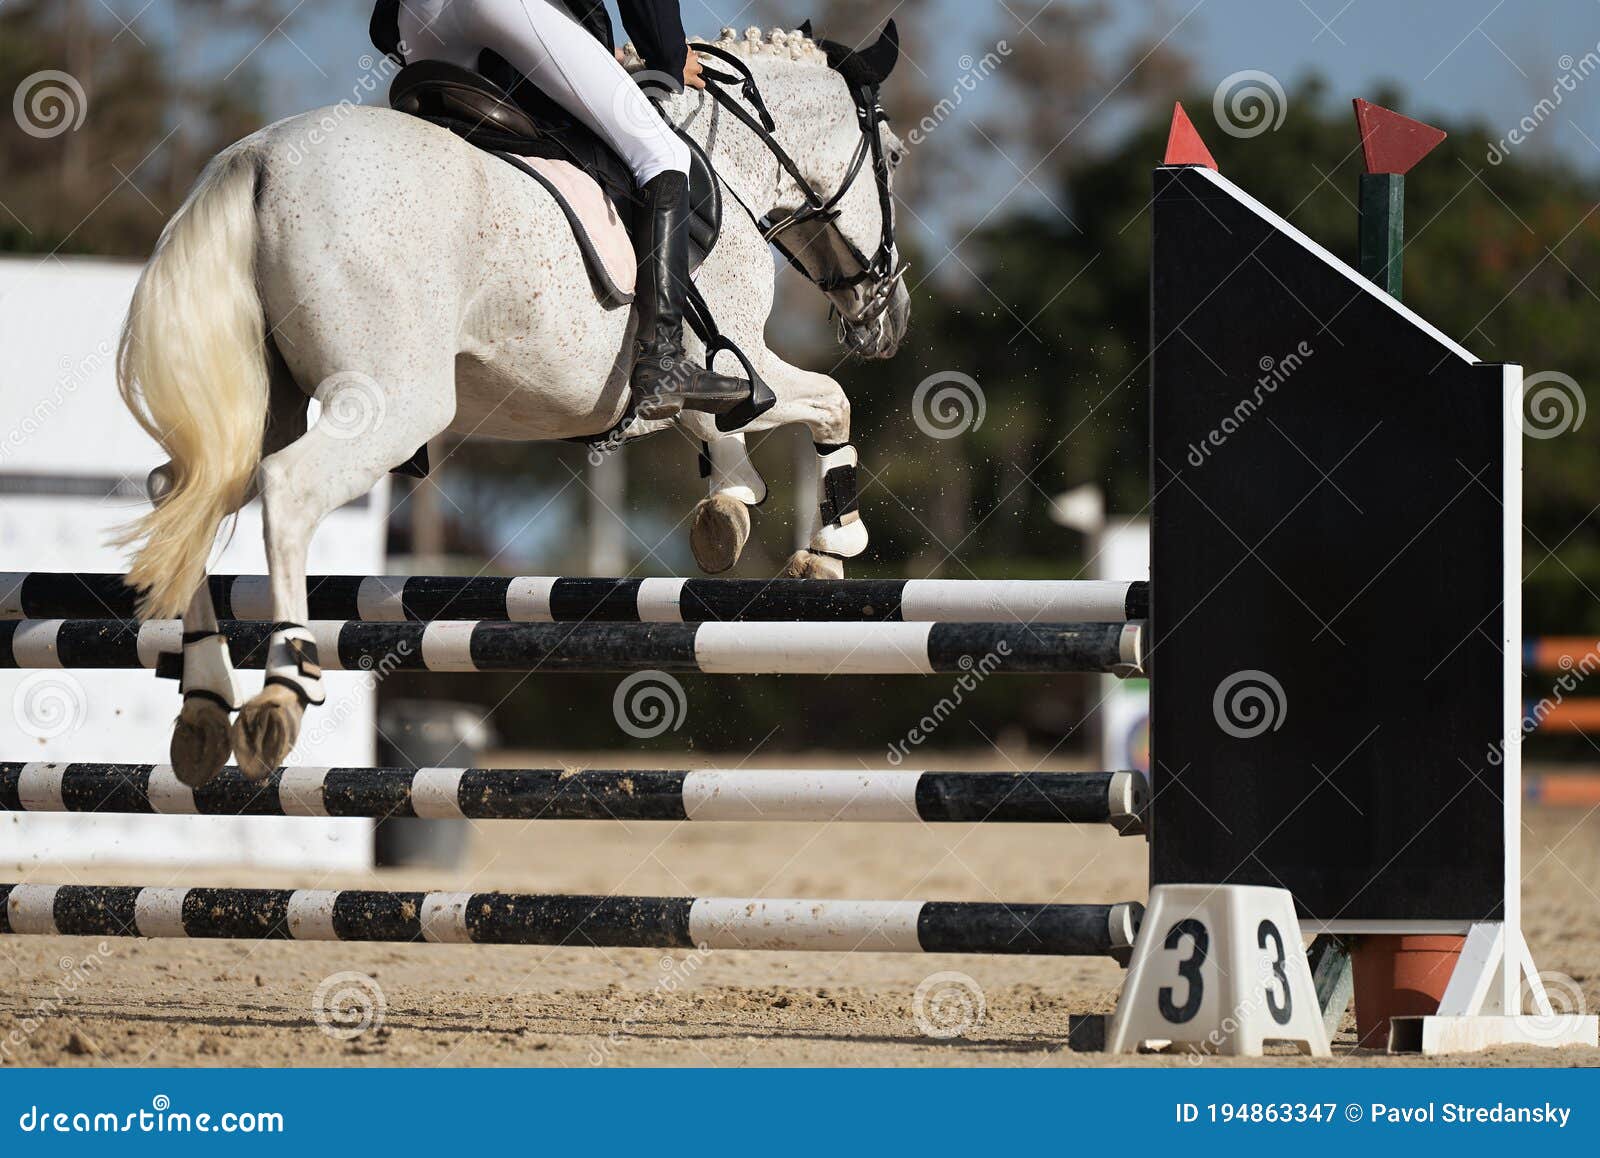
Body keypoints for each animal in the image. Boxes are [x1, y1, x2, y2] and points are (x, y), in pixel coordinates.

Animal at [116, 27, 908, 786]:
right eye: (895, 158)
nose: (890, 318)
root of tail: (258, 159)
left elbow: (710, 422)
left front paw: (728, 507)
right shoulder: (746, 358)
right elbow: (828, 402)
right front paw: (832, 548)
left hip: (268, 407)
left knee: (182, 492)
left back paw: (204, 705)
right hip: (393, 405)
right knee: (287, 490)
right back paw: (280, 691)